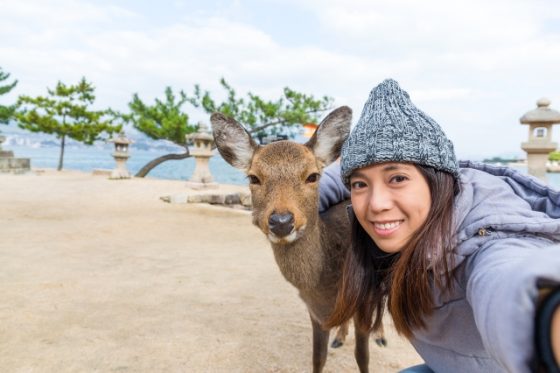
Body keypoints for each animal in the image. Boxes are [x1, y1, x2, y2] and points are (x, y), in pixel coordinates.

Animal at [210, 106, 384, 370]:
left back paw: (381, 336)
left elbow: (362, 357)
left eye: (312, 176)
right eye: (253, 178)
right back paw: (340, 337)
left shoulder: (364, 304)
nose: (281, 221)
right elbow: (318, 358)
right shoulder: (314, 312)